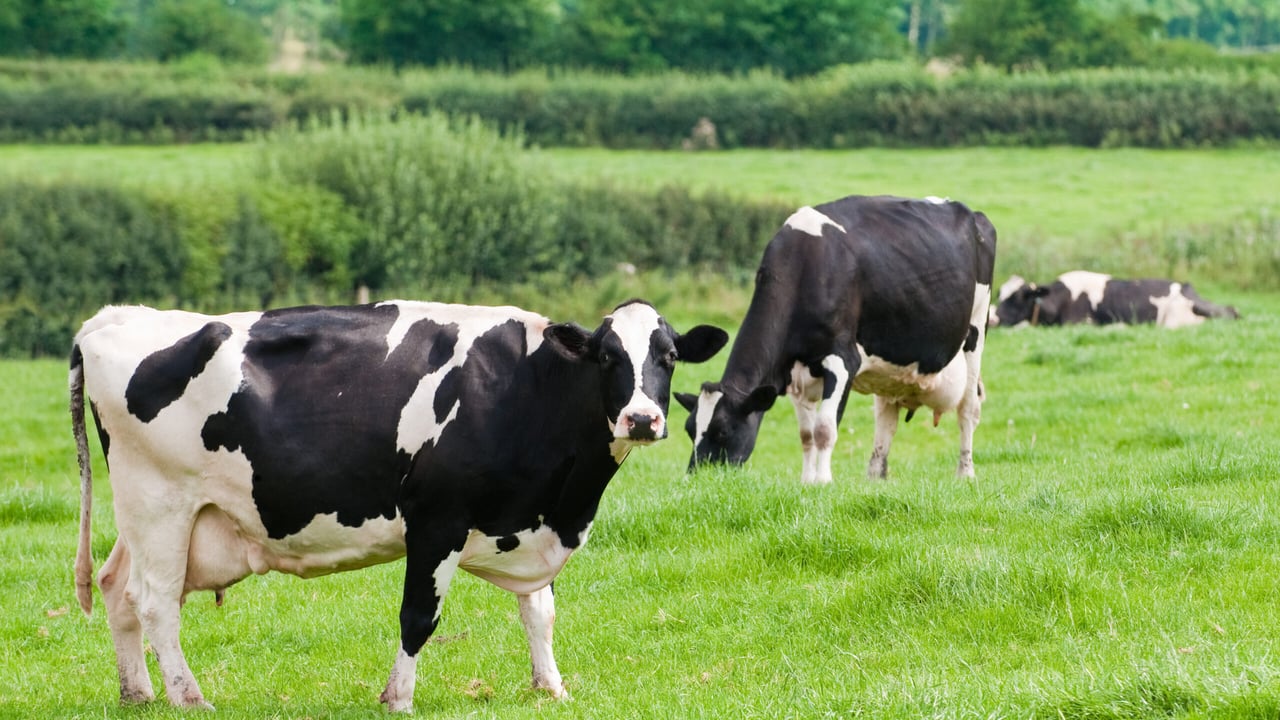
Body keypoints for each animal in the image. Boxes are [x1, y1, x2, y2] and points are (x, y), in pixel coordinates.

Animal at [70, 299, 727, 712]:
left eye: (668, 357)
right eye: (607, 357)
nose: (641, 418)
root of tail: (117, 317)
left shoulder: (527, 518)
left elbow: (539, 612)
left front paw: (552, 688)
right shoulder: (437, 520)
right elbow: (419, 617)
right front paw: (399, 698)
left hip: (151, 517)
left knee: (115, 586)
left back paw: (139, 693)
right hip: (160, 502)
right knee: (156, 603)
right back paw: (189, 697)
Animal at [676, 194, 997, 483]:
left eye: (722, 431)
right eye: (690, 429)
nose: (696, 478)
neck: (803, 266)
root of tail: (972, 213)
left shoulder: (842, 360)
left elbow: (824, 429)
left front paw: (824, 481)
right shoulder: (794, 373)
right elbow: (806, 435)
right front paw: (807, 481)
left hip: (976, 332)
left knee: (968, 410)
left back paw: (965, 473)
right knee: (886, 418)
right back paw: (875, 477)